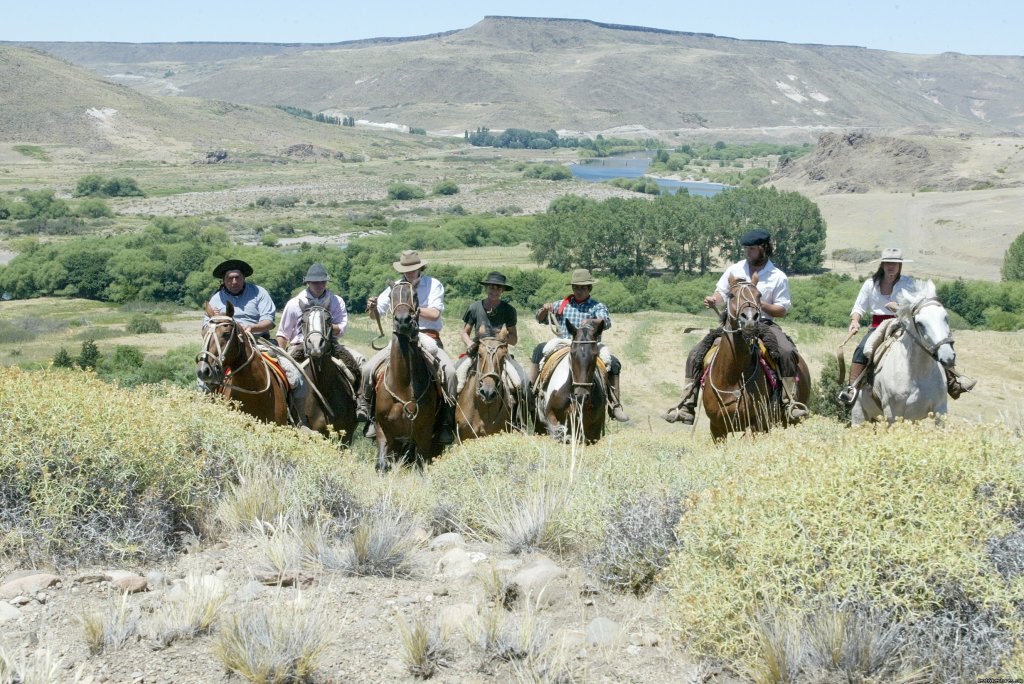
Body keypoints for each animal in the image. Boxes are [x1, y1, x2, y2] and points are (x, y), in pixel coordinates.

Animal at [704, 278, 806, 444]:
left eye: (759, 295)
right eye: (731, 295)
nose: (750, 318)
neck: (732, 376)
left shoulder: (755, 425)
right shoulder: (717, 427)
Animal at [851, 280, 954, 423]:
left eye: (945, 317)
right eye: (920, 323)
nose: (948, 356)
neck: (918, 374)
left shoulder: (940, 410)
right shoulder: (893, 415)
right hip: (859, 415)